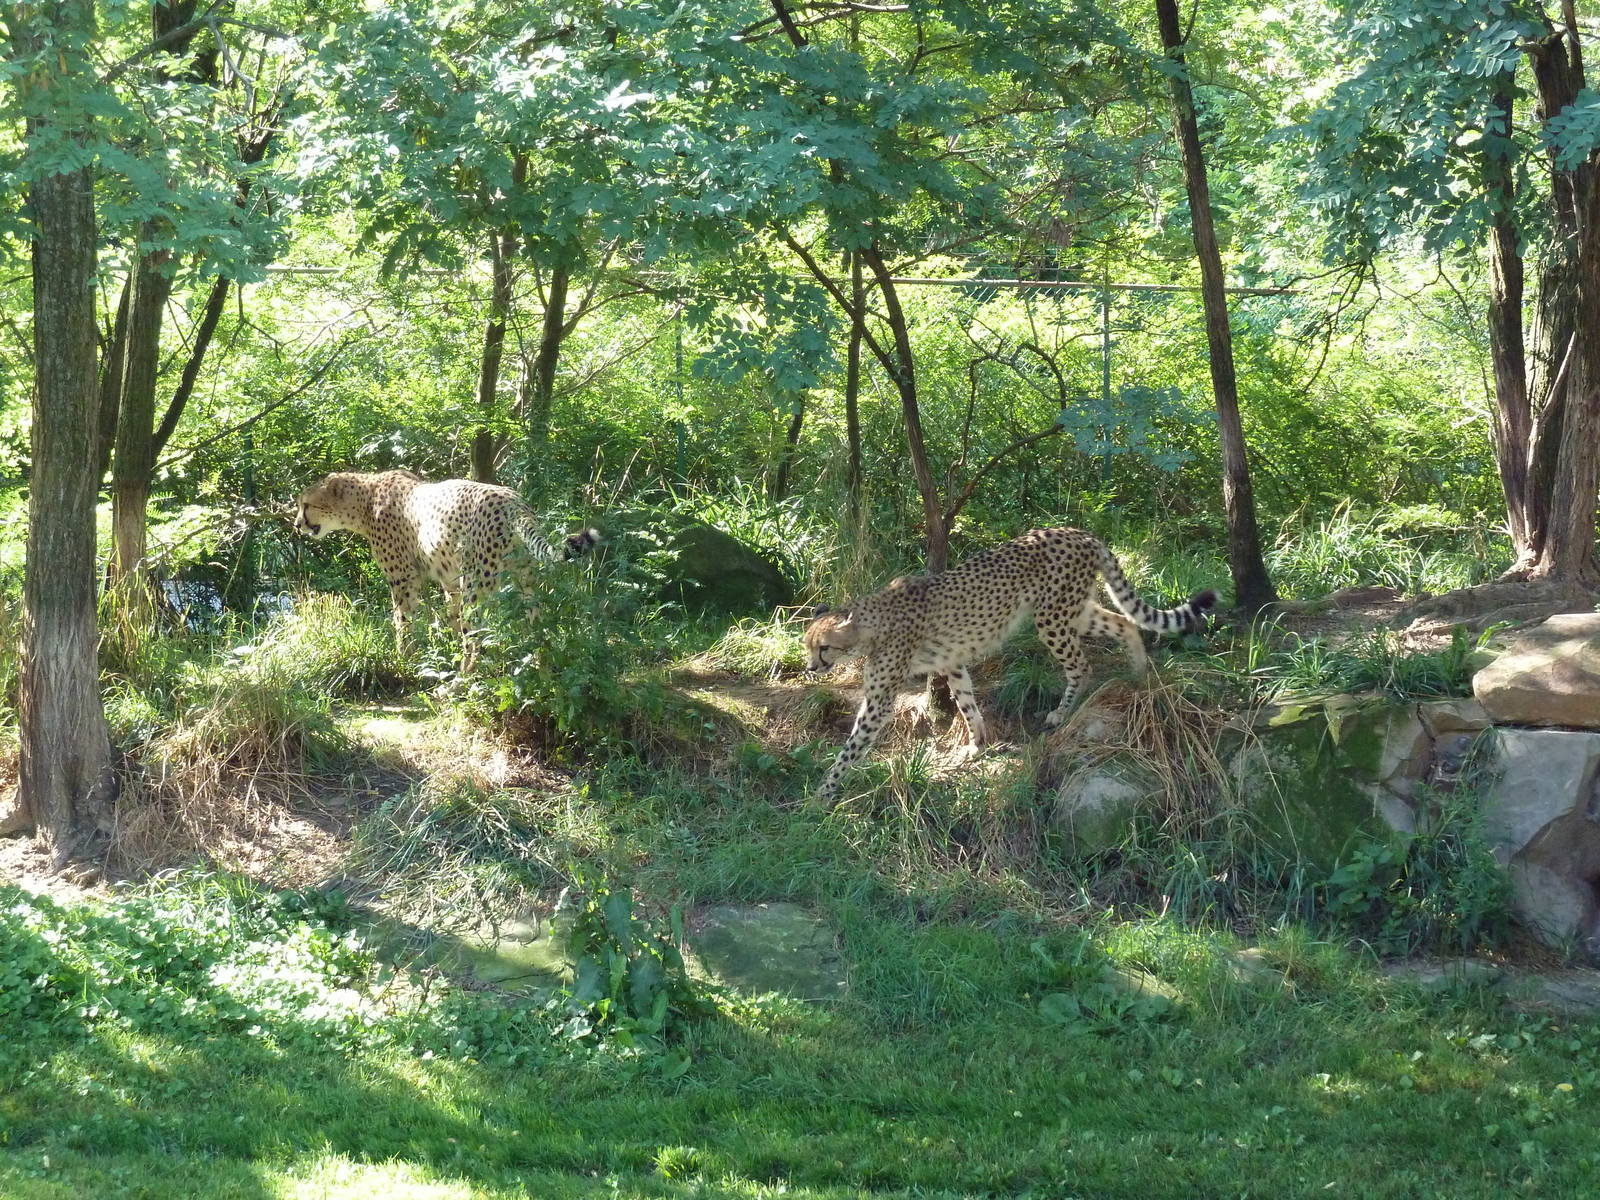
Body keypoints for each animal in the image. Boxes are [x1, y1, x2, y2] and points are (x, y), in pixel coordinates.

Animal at [292, 469, 599, 669]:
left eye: (307, 504)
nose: (297, 525)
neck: (365, 500)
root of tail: (512, 500)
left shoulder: (404, 577)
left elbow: (402, 620)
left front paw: (403, 658)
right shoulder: (450, 579)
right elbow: (450, 615)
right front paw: (444, 647)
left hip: (477, 582)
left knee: (475, 639)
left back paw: (460, 684)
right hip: (523, 577)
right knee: (535, 620)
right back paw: (540, 665)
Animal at [803, 527, 1217, 803]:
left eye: (823, 648)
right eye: (808, 646)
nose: (810, 668)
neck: (871, 622)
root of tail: (1079, 532)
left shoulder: (880, 700)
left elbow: (852, 747)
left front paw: (823, 793)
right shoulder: (953, 662)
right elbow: (966, 702)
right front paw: (976, 744)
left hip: (1051, 617)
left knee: (1082, 665)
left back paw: (1062, 713)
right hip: (1073, 610)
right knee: (1124, 622)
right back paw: (1138, 672)